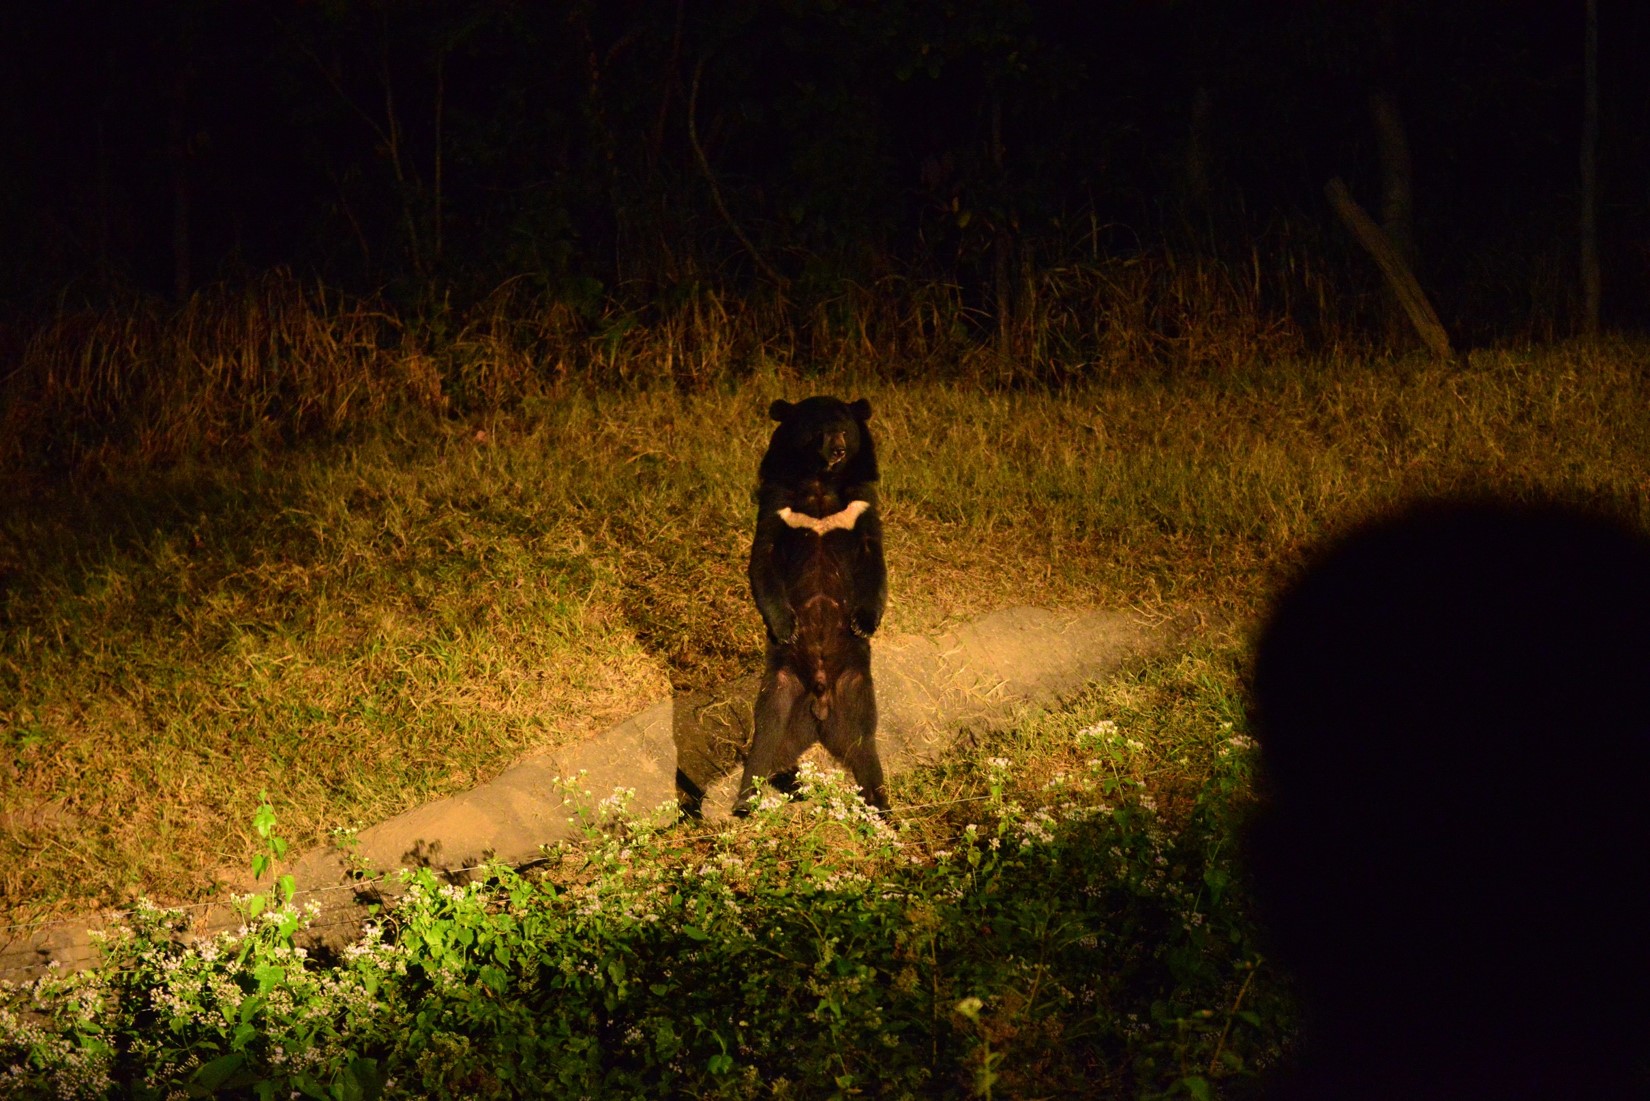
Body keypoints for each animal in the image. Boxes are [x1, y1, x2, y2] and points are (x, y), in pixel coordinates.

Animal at [739, 391, 891, 815]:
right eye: (817, 432)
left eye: (844, 430)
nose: (837, 450)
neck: (821, 482)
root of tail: (820, 712)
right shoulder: (777, 506)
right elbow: (762, 560)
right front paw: (787, 627)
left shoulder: (860, 506)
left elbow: (874, 560)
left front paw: (862, 623)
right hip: (781, 686)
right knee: (766, 740)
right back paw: (748, 800)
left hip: (855, 687)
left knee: (863, 744)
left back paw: (879, 802)